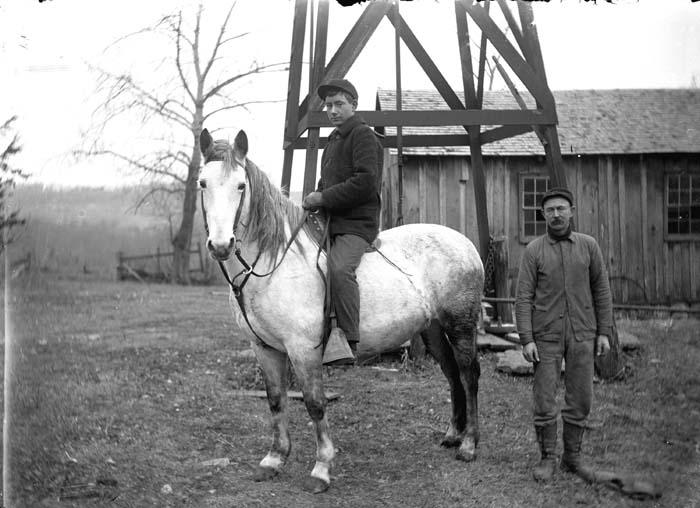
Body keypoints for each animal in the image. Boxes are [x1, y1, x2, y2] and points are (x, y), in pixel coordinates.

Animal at [196, 127, 482, 492]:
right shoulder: (264, 348)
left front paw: (321, 467)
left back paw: (469, 445)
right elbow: (276, 399)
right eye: (203, 183)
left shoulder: (303, 348)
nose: (221, 245)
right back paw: (453, 435)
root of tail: (465, 243)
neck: (273, 264)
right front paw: (274, 459)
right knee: (451, 374)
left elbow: (315, 403)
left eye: (241, 185)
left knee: (469, 374)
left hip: (460, 325)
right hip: (432, 329)